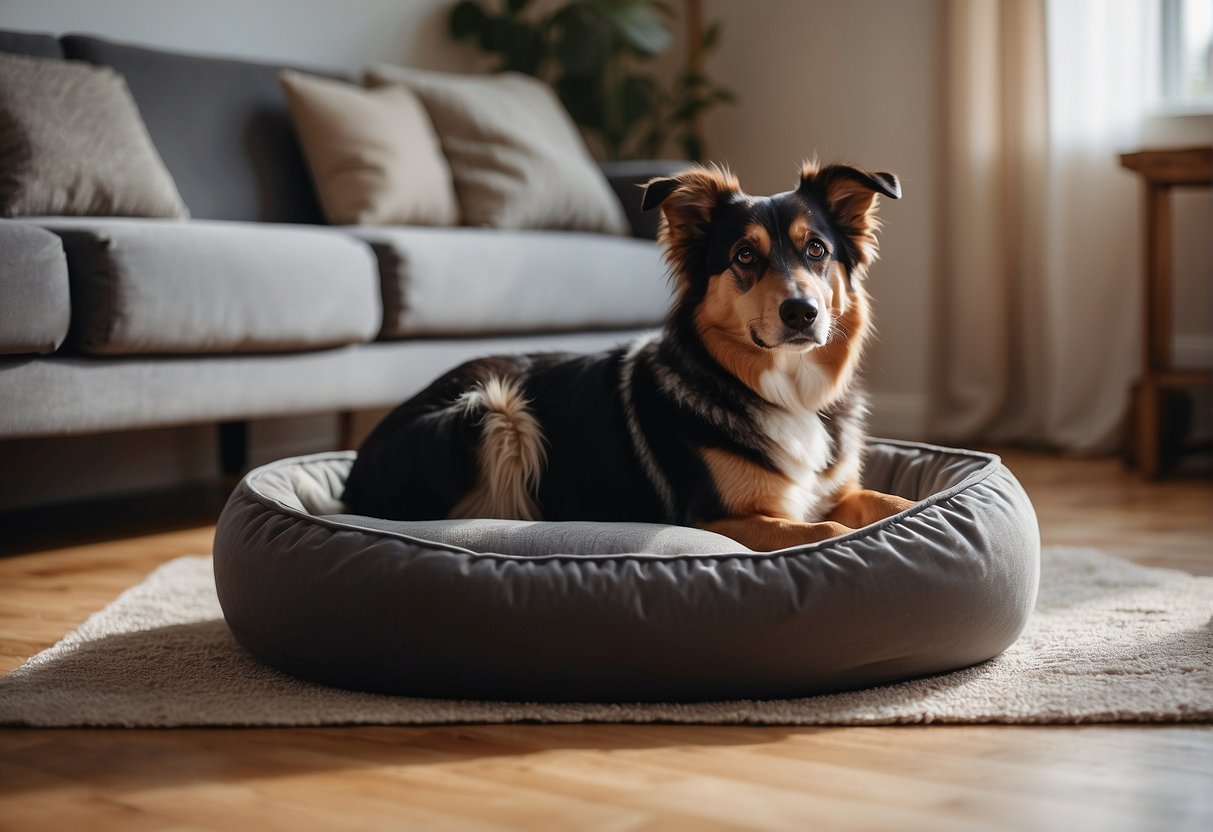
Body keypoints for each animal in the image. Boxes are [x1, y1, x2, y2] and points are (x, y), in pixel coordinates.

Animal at [339, 162, 912, 553]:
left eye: (816, 250)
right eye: (744, 256)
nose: (802, 312)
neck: (783, 388)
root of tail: (356, 469)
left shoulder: (833, 489)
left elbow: (889, 505)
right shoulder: (710, 517)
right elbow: (827, 528)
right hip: (497, 410)